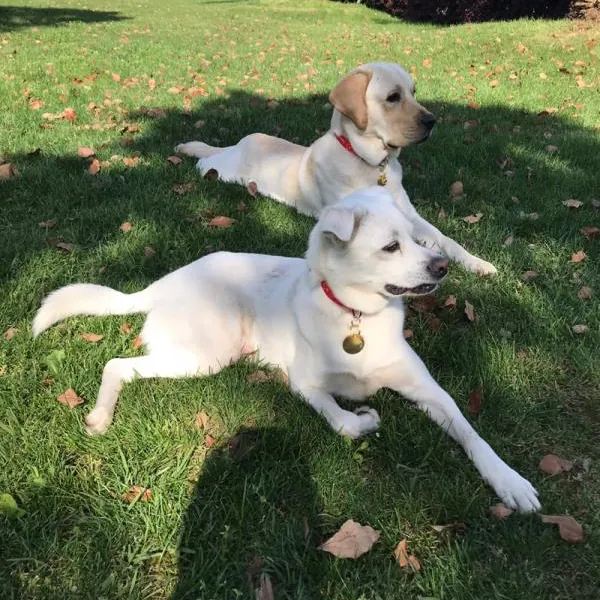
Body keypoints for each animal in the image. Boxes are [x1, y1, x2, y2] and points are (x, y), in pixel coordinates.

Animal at [32, 188, 540, 510]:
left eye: (418, 239)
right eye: (390, 247)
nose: (442, 267)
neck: (357, 317)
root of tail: (165, 281)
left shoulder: (429, 391)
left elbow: (473, 436)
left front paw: (509, 482)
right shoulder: (305, 385)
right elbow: (343, 420)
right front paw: (364, 418)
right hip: (205, 354)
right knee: (117, 363)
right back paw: (100, 416)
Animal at [175, 61, 496, 276]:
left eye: (414, 92)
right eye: (393, 97)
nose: (432, 121)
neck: (370, 164)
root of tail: (240, 143)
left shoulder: (410, 216)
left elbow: (445, 239)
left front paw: (477, 262)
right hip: (221, 169)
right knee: (205, 159)